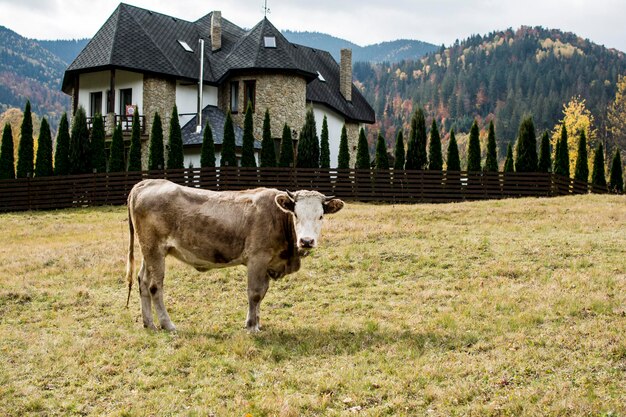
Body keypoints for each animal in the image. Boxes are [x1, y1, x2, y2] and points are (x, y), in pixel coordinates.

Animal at [124, 179, 344, 332]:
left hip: (148, 251)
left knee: (143, 281)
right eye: (296, 214)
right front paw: (251, 326)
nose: (306, 241)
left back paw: (149, 323)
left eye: (321, 216)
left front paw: (258, 322)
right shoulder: (257, 259)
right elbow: (255, 293)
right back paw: (167, 324)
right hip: (155, 250)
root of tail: (147, 183)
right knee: (155, 286)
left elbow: (262, 294)